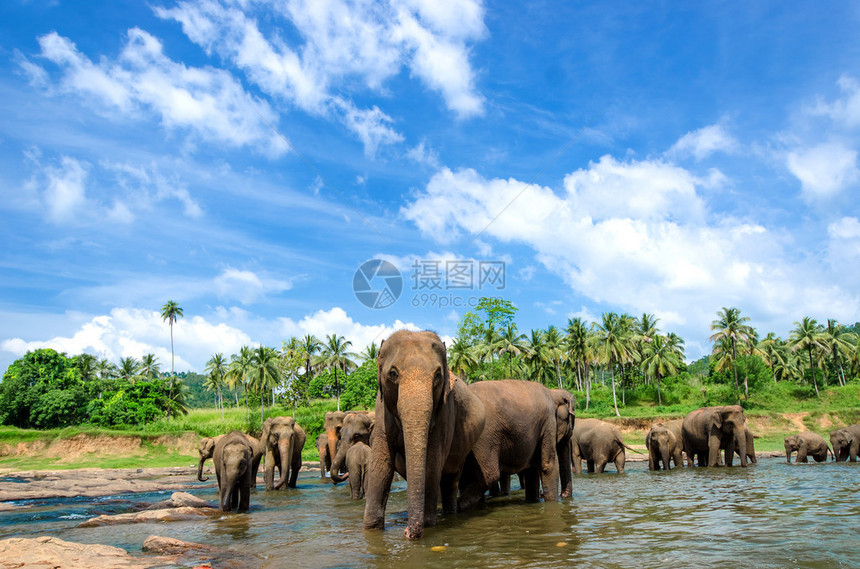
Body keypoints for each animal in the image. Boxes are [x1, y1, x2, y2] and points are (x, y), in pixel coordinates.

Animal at [362, 328, 488, 536]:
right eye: (393, 373)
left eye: (437, 375)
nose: (406, 531)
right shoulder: (381, 413)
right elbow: (381, 463)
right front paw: (371, 529)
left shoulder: (445, 412)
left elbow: (432, 460)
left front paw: (427, 524)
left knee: (450, 480)